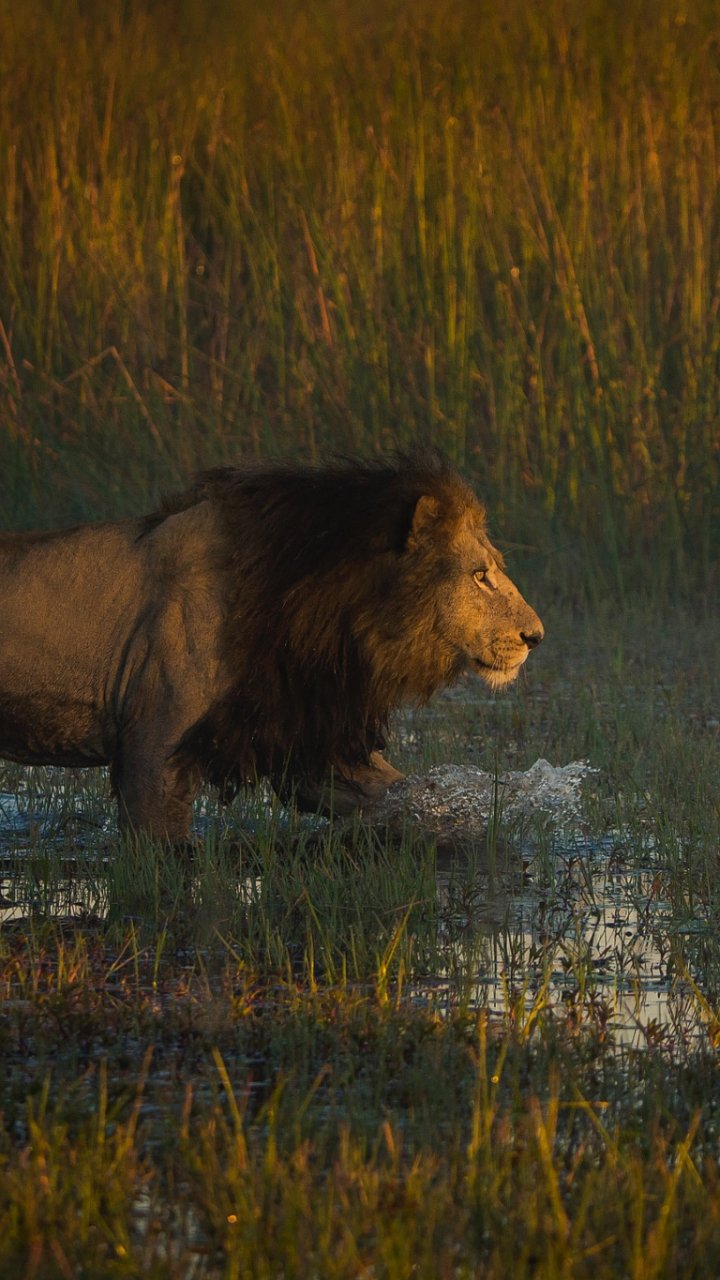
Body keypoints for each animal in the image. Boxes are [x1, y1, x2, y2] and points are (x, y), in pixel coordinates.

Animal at [0, 453, 543, 838]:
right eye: (481, 576)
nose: (535, 637)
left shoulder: (303, 733)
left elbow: (398, 796)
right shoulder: (152, 745)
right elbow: (159, 856)